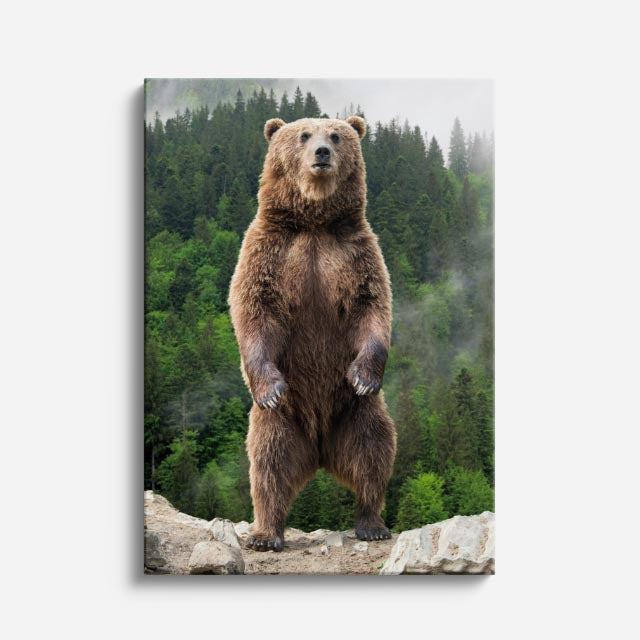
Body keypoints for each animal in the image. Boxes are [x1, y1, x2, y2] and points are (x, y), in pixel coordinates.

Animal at [228, 115, 396, 551]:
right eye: (303, 135)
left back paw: (371, 523)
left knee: (374, 452)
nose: (321, 152)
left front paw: (363, 375)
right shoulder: (269, 251)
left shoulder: (356, 253)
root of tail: (320, 449)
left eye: (336, 135)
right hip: (282, 421)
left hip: (355, 413)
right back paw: (266, 533)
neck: (314, 222)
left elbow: (371, 307)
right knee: (268, 465)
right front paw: (269, 386)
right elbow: (255, 309)